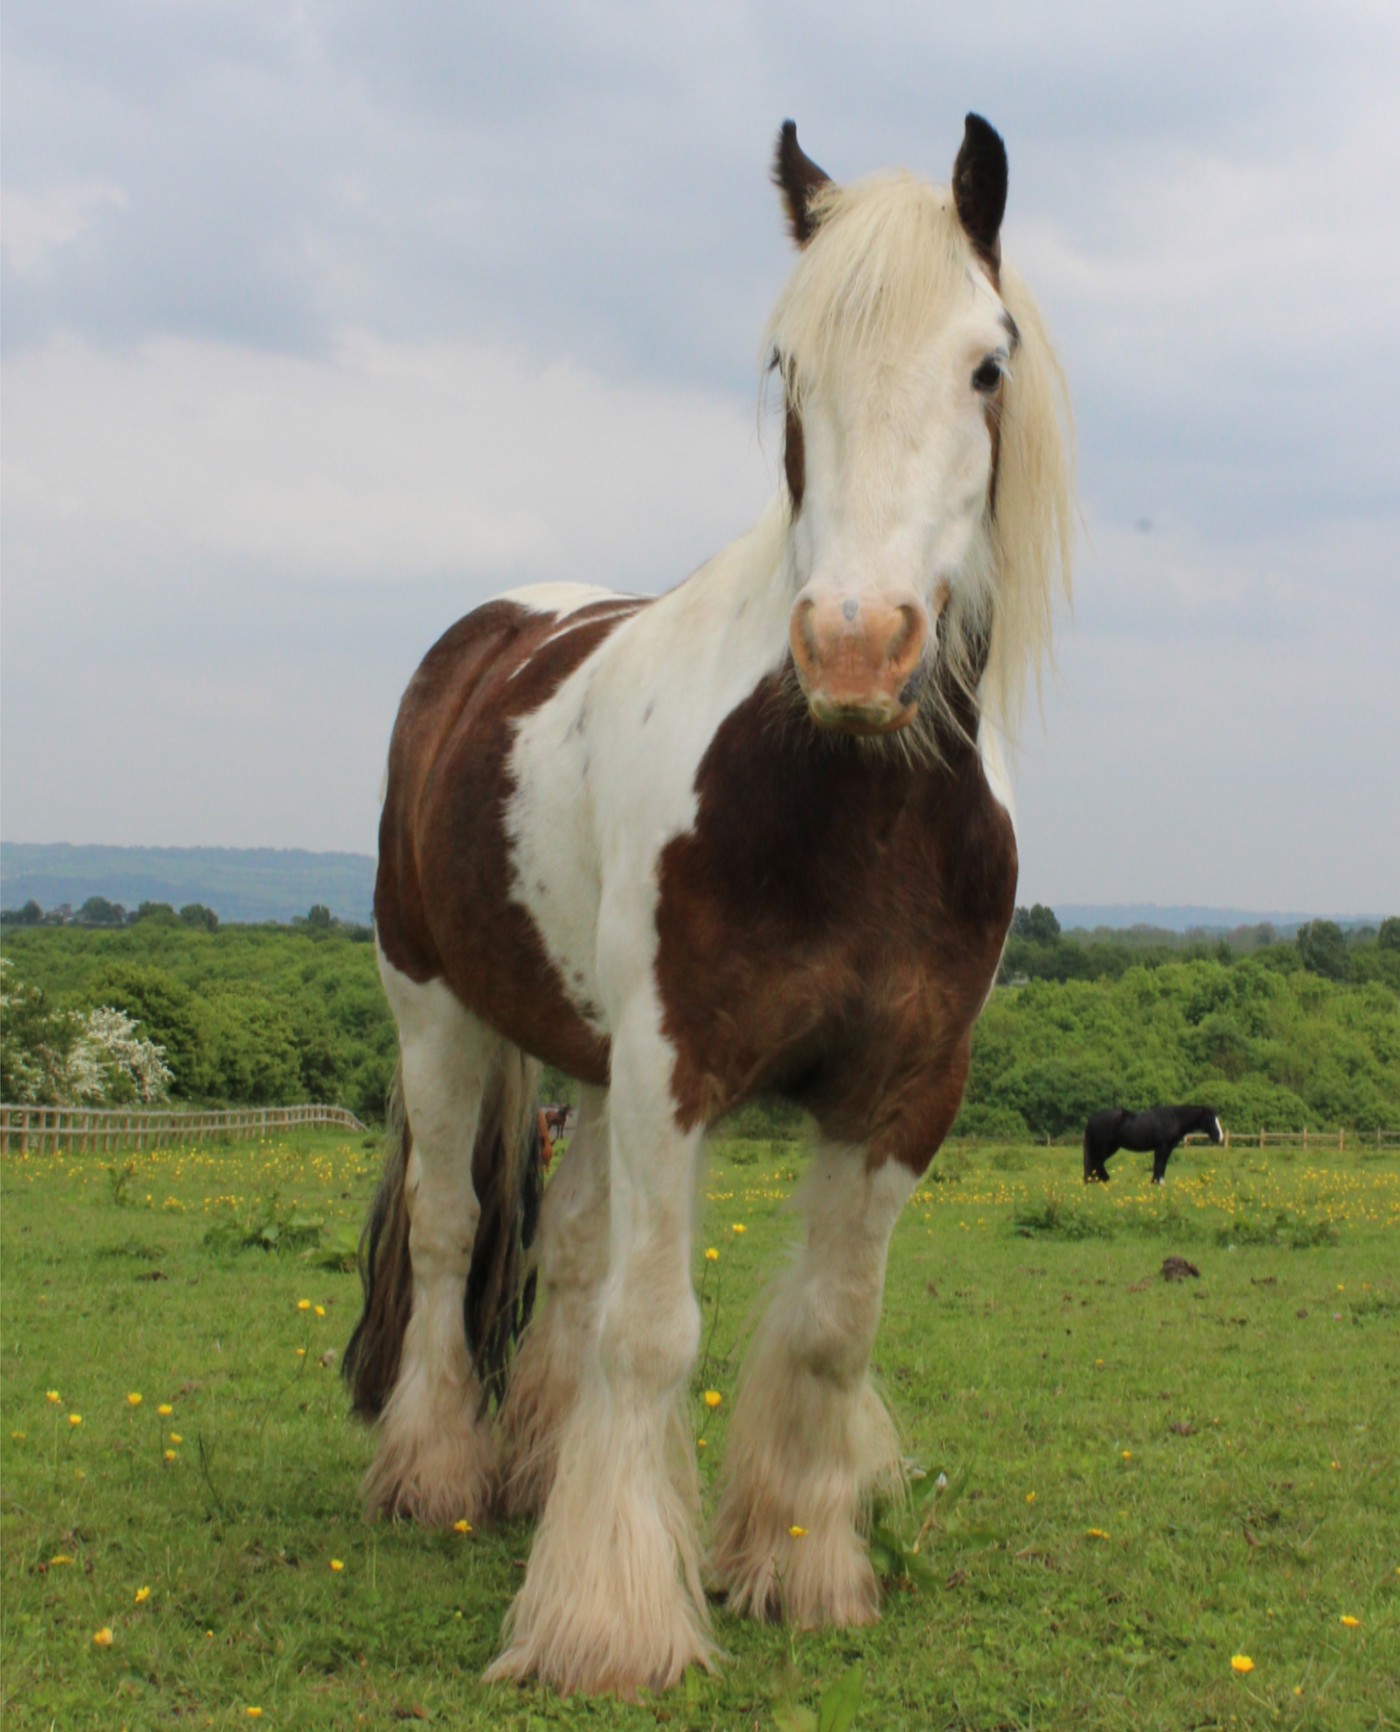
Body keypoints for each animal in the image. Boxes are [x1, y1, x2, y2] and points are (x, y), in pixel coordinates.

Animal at [343, 113, 1073, 1696]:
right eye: (788, 369)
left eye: (986, 364)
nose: (855, 648)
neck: (851, 802)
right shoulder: (675, 1071)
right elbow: (653, 1332)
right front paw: (609, 1623)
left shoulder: (899, 1091)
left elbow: (826, 1332)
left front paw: (797, 1565)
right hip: (438, 1010)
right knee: (447, 1233)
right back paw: (434, 1472)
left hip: (584, 1056)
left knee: (560, 1251)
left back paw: (537, 1470)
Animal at [1083, 1105, 1224, 1185]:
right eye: (1210, 1119)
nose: (1220, 1138)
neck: (1173, 1119)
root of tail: (1091, 1118)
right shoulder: (1162, 1147)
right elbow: (1159, 1164)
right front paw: (1157, 1182)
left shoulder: (1167, 1148)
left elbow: (1162, 1165)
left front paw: (1157, 1182)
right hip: (1104, 1147)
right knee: (1096, 1162)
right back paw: (1104, 1180)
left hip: (1111, 1147)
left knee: (1095, 1163)